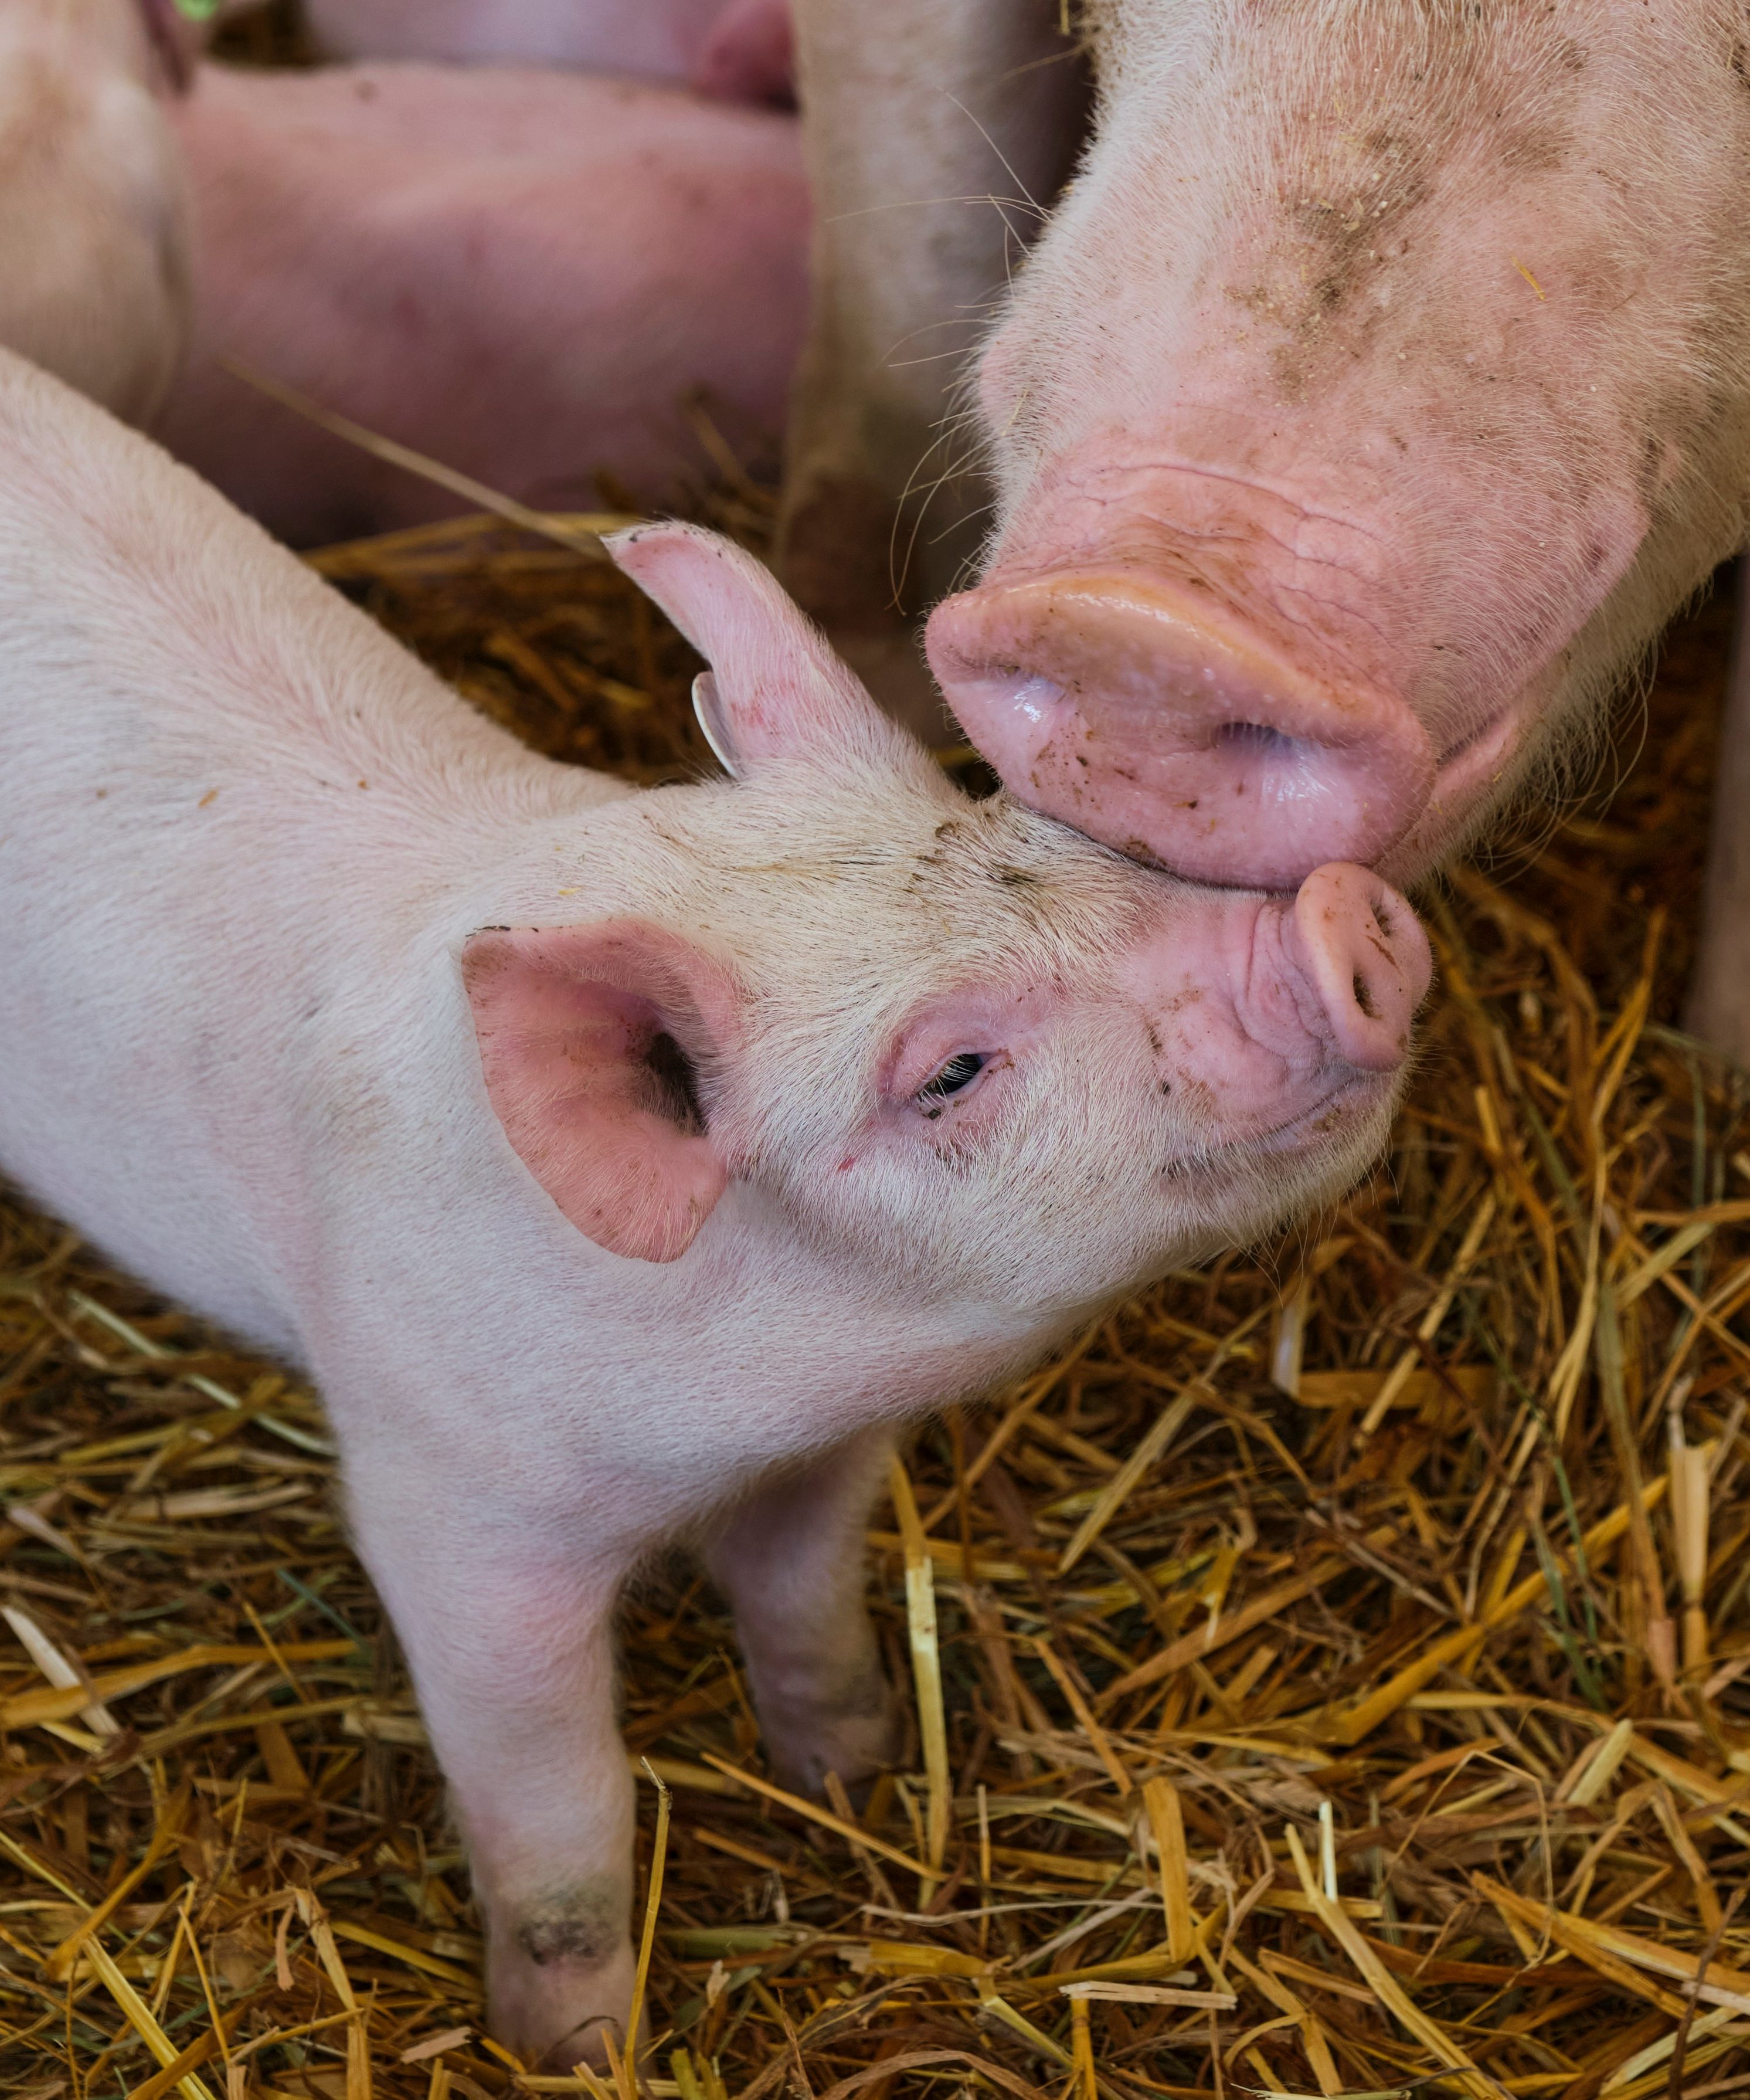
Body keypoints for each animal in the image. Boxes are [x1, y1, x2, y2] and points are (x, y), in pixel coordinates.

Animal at [0, 347, 1426, 2062]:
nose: (1343, 922)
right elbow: (562, 1809)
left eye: (1034, 828)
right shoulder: (444, 1504)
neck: (739, 1400)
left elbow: (807, 1603)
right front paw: (577, 2050)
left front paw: (854, 1776)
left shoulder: (824, 1458)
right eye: (950, 1069)